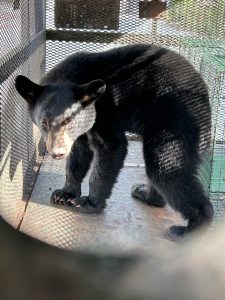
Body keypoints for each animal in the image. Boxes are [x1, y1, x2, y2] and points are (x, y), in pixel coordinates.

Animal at [15, 45, 213, 237]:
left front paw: (89, 203)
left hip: (176, 118)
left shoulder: (106, 109)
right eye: (44, 123)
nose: (57, 153)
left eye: (69, 120)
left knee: (166, 167)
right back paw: (144, 192)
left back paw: (193, 226)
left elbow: (111, 147)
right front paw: (64, 194)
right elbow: (78, 154)